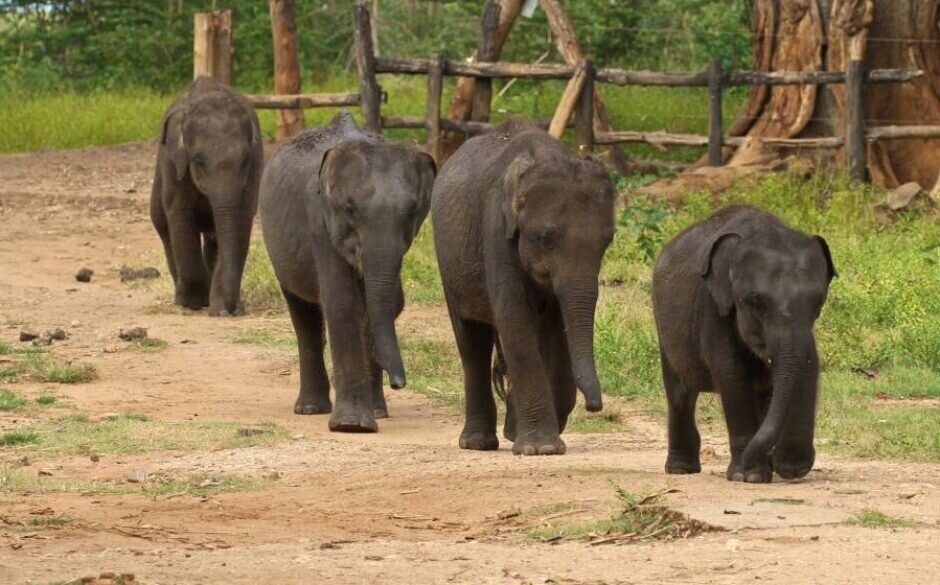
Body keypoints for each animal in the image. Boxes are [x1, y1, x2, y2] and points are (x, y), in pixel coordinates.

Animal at [151, 77, 262, 318]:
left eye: (244, 160)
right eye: (198, 160)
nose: (234, 308)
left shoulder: (255, 167)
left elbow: (241, 220)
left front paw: (222, 310)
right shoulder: (173, 165)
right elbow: (180, 217)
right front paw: (195, 301)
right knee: (166, 232)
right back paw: (182, 297)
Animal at [260, 112, 436, 432]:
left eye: (412, 211)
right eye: (350, 209)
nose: (399, 383)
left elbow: (383, 304)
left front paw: (370, 416)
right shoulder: (319, 220)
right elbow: (342, 302)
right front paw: (352, 426)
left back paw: (376, 410)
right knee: (303, 315)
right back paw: (309, 409)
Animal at [434, 120, 616, 456]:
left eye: (607, 241)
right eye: (546, 238)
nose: (595, 406)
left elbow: (558, 329)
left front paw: (538, 436)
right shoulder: (495, 229)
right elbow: (515, 319)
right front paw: (541, 448)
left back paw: (509, 432)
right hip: (448, 263)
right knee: (471, 342)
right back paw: (478, 443)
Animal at [652, 206, 836, 484]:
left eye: (818, 302)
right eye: (755, 303)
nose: (792, 469)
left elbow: (805, 367)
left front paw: (784, 469)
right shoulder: (714, 307)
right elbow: (732, 372)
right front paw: (748, 476)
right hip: (663, 324)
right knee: (680, 393)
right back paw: (681, 469)